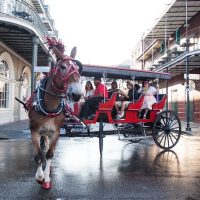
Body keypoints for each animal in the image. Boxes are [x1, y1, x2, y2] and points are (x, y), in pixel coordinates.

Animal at [25, 38, 82, 189]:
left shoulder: (55, 133)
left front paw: (46, 179)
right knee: (42, 150)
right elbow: (38, 155)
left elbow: (50, 154)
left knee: (48, 150)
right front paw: (39, 177)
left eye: (78, 69)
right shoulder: (35, 132)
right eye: (62, 67)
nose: (76, 94)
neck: (50, 106)